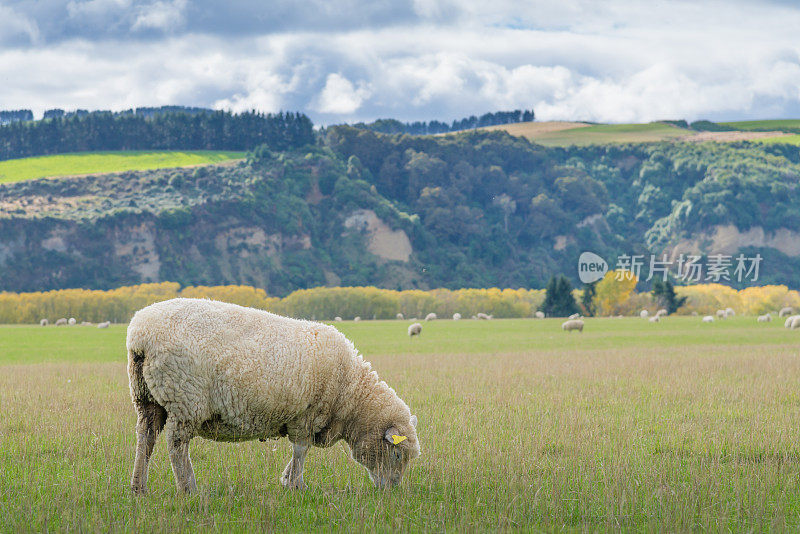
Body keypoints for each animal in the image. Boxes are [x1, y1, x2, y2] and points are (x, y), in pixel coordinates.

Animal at [126, 298, 418, 494]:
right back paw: (189, 488)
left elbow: (299, 452)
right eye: (396, 455)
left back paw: (138, 488)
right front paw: (296, 485)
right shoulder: (307, 414)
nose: (390, 490)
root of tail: (140, 335)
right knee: (176, 446)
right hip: (186, 399)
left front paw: (287, 479)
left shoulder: (302, 417)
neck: (350, 392)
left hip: (146, 397)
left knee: (145, 438)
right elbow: (301, 450)